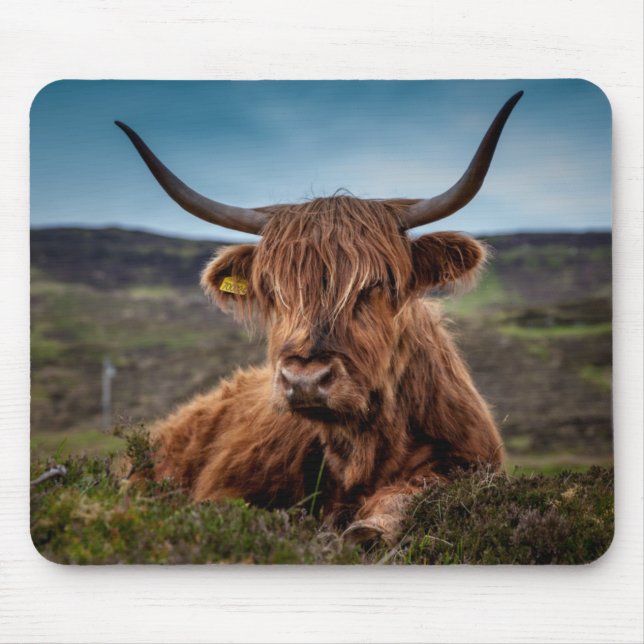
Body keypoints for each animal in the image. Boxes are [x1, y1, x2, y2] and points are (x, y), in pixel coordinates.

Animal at [115, 91, 522, 545]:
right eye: (274, 290)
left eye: (376, 284)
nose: (305, 379)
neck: (361, 450)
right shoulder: (225, 490)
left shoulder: (469, 462)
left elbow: (411, 493)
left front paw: (369, 528)